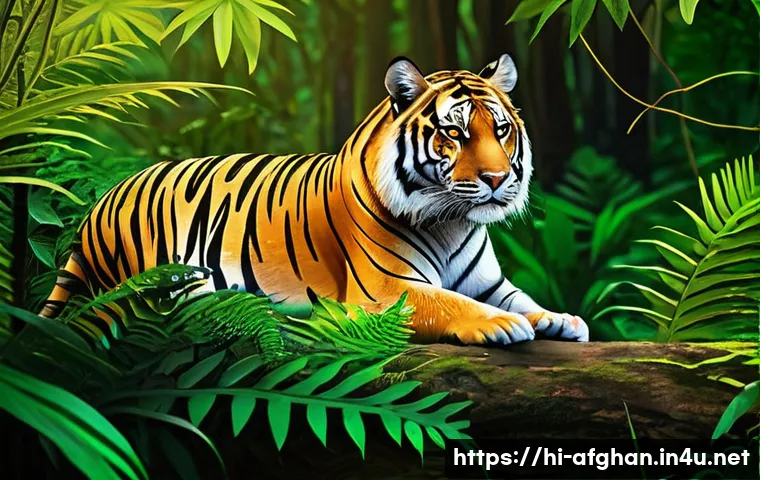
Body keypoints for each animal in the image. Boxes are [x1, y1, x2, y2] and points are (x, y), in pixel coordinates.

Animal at [41, 54, 589, 345]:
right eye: (453, 133)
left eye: (501, 130)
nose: (498, 179)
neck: (451, 220)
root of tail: (103, 200)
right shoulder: (386, 291)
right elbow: (449, 301)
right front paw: (501, 324)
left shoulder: (490, 281)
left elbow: (523, 299)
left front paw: (559, 319)